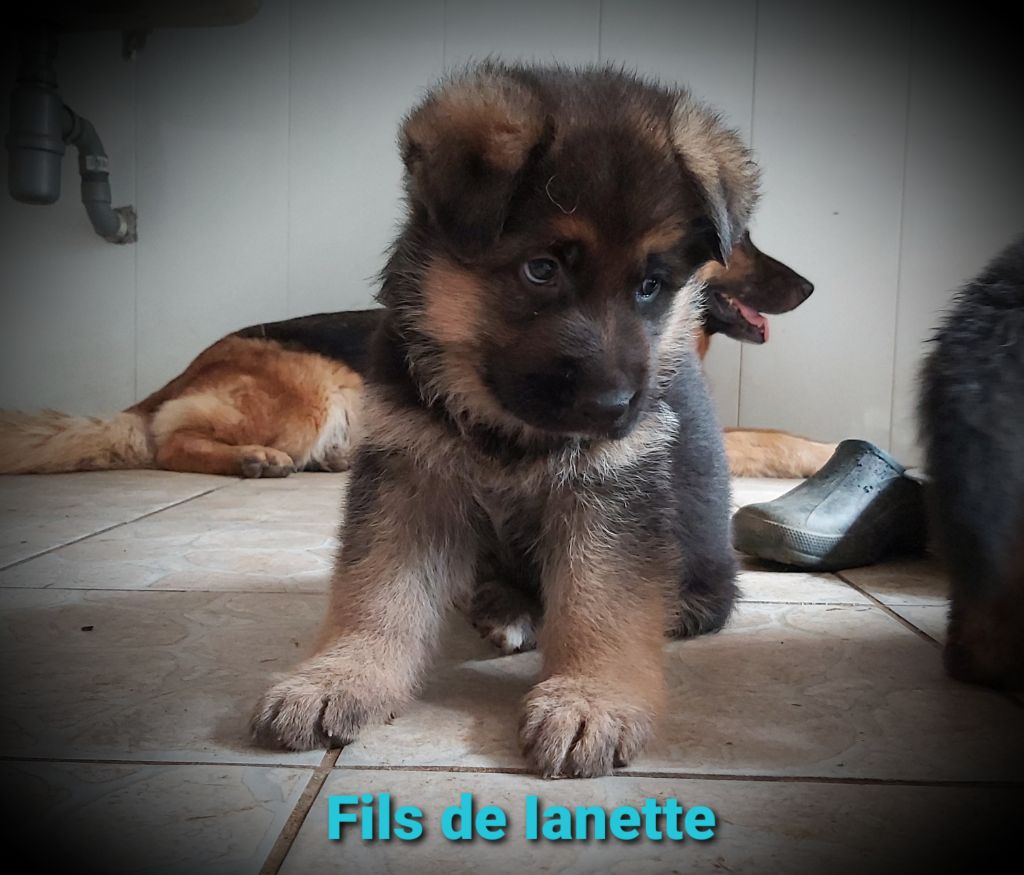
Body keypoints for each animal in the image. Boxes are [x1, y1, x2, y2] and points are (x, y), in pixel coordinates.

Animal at [247, 63, 761, 782]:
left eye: (651, 285)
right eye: (540, 270)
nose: (612, 408)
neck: (506, 431)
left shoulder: (612, 492)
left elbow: (601, 600)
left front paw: (590, 697)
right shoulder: (409, 474)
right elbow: (375, 588)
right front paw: (340, 675)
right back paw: (501, 606)